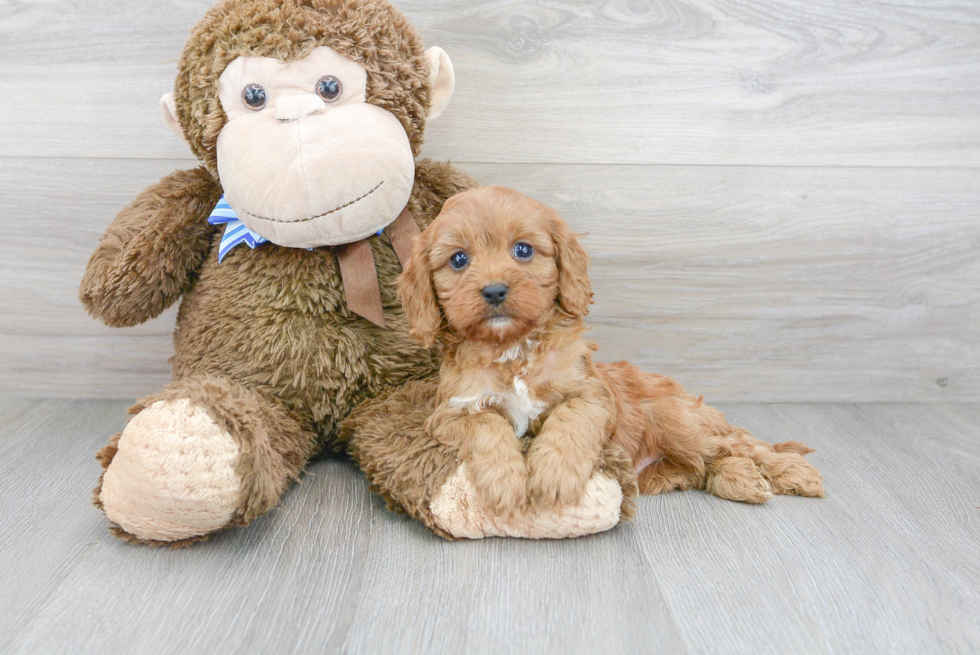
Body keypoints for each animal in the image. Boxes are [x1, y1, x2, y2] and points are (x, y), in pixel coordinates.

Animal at [398, 186, 828, 516]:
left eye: (523, 250)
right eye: (458, 259)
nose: (494, 291)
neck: (513, 350)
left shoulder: (592, 395)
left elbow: (568, 420)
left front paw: (554, 476)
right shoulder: (450, 411)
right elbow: (486, 424)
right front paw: (505, 482)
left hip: (673, 418)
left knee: (739, 445)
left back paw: (790, 472)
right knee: (706, 464)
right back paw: (740, 479)